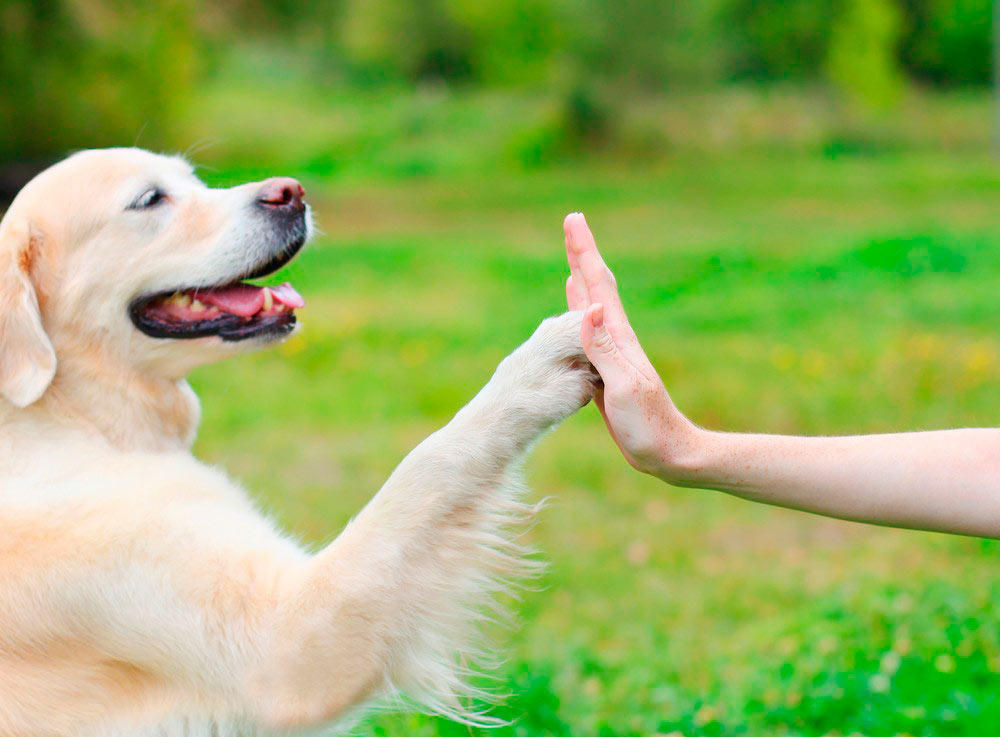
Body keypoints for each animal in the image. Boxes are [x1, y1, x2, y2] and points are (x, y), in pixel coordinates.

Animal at [0, 147, 592, 732]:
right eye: (149, 199)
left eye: (194, 180)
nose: (291, 192)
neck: (74, 418)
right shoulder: (284, 647)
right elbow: (430, 462)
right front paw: (541, 364)